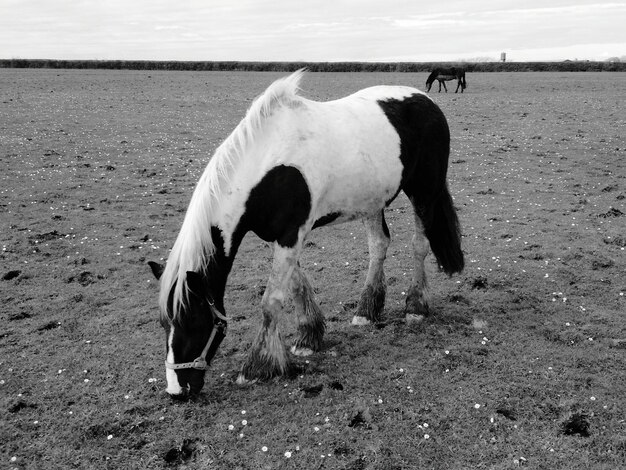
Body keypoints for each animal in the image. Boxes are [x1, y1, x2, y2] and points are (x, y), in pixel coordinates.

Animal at [149, 70, 464, 398]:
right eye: (164, 324)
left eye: (194, 322)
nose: (177, 391)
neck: (270, 164)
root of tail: (425, 100)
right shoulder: (280, 237)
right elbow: (297, 288)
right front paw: (309, 338)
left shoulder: (291, 234)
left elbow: (271, 301)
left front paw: (257, 367)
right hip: (372, 201)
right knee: (379, 246)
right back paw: (366, 311)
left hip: (424, 193)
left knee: (419, 245)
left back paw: (416, 307)